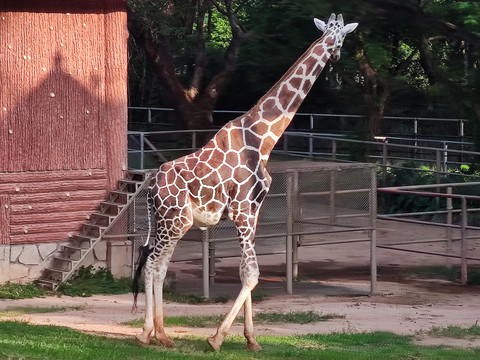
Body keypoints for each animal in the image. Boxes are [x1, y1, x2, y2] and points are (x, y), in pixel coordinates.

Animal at [133, 14, 358, 352]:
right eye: (342, 38)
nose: (336, 56)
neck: (263, 138)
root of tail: (150, 187)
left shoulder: (253, 212)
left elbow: (245, 272)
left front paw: (251, 339)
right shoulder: (241, 210)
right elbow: (252, 274)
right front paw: (216, 338)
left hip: (169, 222)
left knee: (159, 266)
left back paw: (162, 333)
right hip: (175, 220)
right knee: (152, 264)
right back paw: (147, 333)